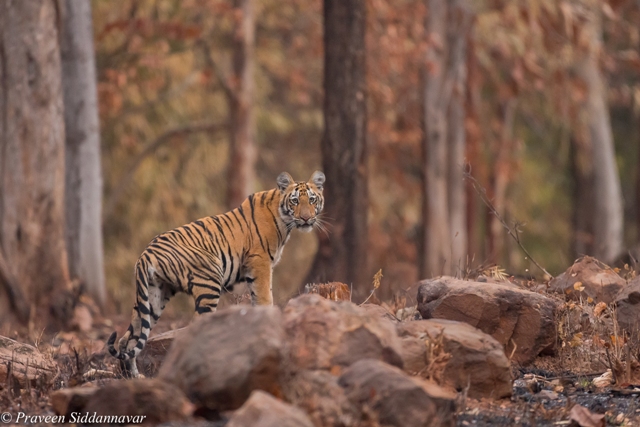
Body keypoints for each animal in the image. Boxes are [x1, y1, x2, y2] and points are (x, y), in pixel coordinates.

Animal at [109, 171, 324, 378]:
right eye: (295, 201)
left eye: (312, 200)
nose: (306, 218)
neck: (284, 220)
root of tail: (146, 253)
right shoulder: (260, 263)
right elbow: (265, 297)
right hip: (209, 283)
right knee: (194, 327)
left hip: (154, 297)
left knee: (128, 339)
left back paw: (134, 376)